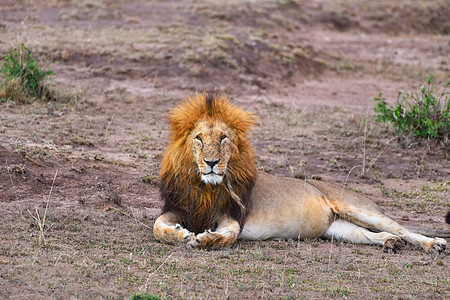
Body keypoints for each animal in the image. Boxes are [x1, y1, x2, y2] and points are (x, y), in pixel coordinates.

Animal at [153, 93, 448, 253]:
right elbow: (158, 227)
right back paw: (389, 242)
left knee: (404, 229)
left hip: (359, 208)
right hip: (337, 229)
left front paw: (204, 238)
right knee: (367, 234)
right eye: (199, 138)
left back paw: (433, 244)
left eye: (223, 138)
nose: (212, 162)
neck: (203, 186)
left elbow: (226, 237)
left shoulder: (233, 218)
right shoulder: (179, 208)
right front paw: (181, 234)